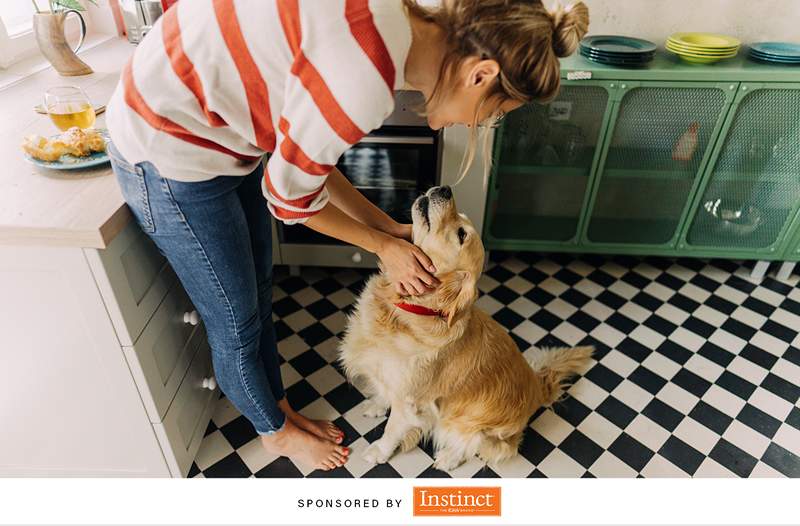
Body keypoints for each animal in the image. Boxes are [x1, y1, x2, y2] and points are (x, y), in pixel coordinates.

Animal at [338, 188, 592, 472]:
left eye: (461, 234)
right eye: (461, 217)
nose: (445, 189)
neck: (412, 311)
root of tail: (537, 388)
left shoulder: (410, 402)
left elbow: (393, 429)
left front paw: (379, 451)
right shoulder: (388, 375)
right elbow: (384, 391)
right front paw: (376, 404)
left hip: (467, 424)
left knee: (477, 446)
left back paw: (449, 457)